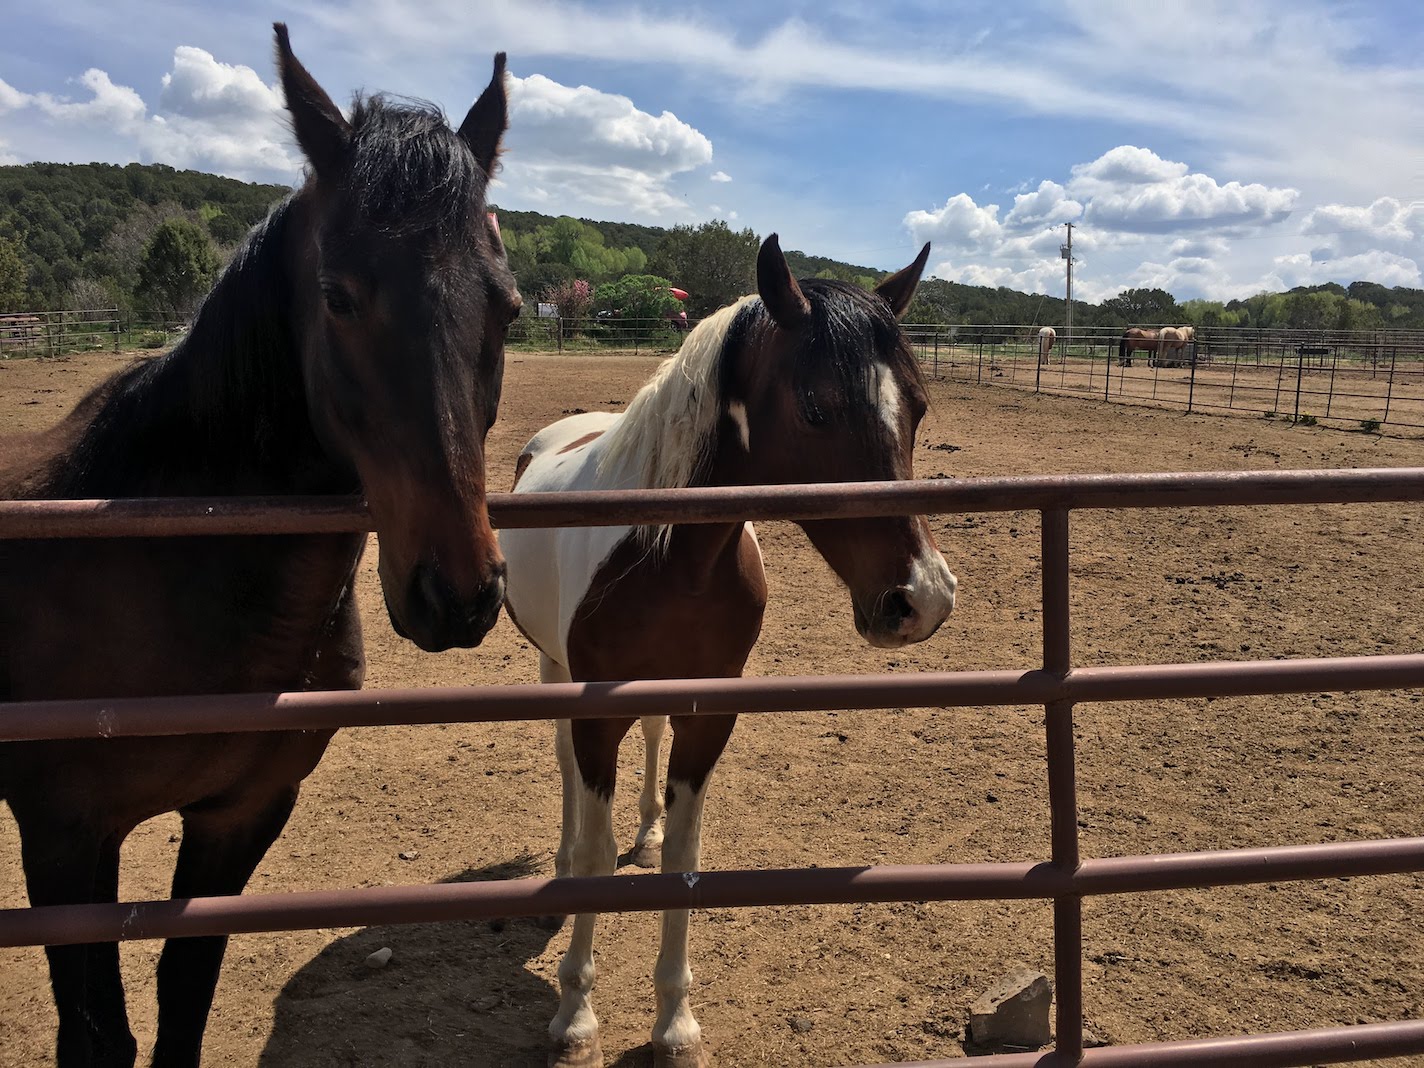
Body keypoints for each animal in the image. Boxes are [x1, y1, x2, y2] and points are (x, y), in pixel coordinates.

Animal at [0, 25, 516, 1067]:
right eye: (338, 296)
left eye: (509, 307)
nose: (458, 592)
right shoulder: (65, 839)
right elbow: (97, 1035)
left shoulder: (240, 818)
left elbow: (184, 998)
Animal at [500, 234, 958, 1068]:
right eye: (816, 407)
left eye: (916, 406)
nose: (922, 598)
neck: (671, 555)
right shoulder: (595, 714)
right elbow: (595, 855)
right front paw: (576, 1012)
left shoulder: (708, 713)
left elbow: (686, 861)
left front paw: (675, 1024)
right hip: (555, 672)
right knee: (565, 776)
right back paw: (563, 857)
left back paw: (644, 830)